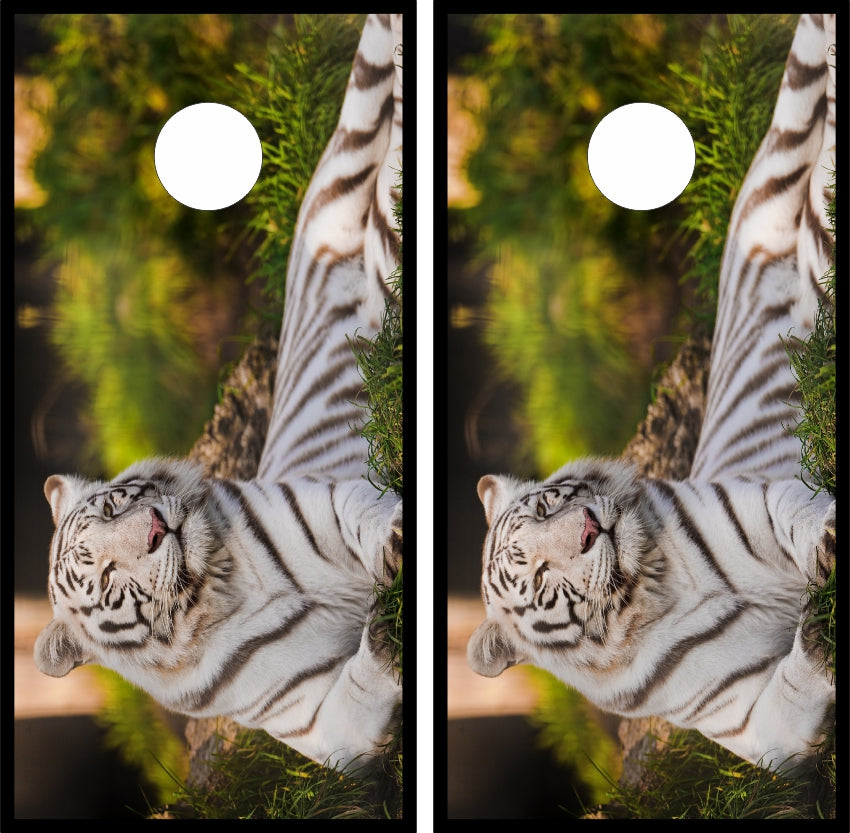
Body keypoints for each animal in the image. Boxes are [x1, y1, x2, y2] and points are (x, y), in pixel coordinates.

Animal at [34, 12, 403, 774]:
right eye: (106, 576)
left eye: (115, 503)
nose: (155, 528)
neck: (223, 591)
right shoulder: (322, 722)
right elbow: (363, 682)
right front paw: (386, 628)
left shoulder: (321, 503)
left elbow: (361, 512)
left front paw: (396, 538)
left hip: (370, 191)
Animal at [467, 12, 835, 775]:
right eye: (540, 576)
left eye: (549, 503)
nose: (588, 528)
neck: (658, 589)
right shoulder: (759, 721)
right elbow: (798, 676)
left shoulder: (756, 503)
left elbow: (796, 516)